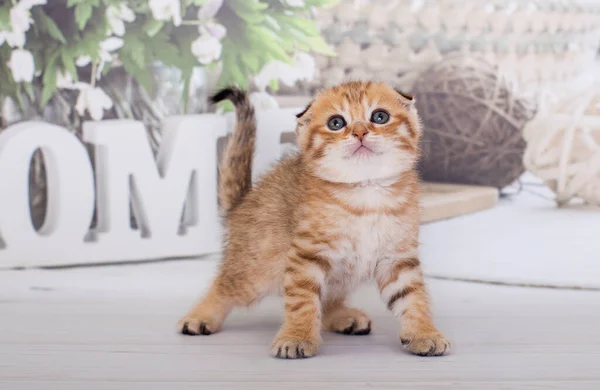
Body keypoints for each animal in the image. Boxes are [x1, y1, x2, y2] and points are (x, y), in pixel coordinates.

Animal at [178, 81, 450, 360]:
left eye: (379, 117)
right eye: (336, 123)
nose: (360, 132)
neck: (366, 192)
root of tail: (243, 203)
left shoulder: (398, 257)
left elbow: (413, 297)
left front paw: (423, 333)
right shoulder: (307, 254)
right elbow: (303, 300)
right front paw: (297, 337)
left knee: (328, 299)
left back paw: (344, 317)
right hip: (257, 271)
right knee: (224, 285)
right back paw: (200, 317)